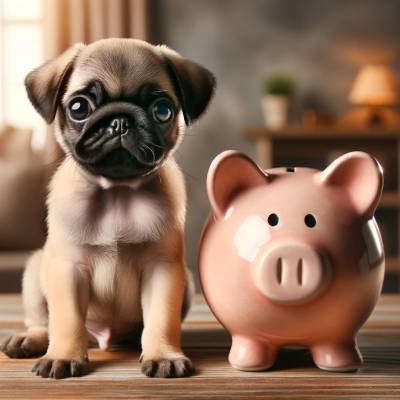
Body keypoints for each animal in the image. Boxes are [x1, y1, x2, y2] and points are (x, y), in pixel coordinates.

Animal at [0, 37, 216, 378]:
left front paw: (163, 355)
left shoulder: (162, 270)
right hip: (35, 271)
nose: (120, 121)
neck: (117, 193)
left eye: (162, 110)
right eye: (78, 108)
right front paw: (63, 356)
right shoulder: (68, 269)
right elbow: (66, 320)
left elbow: (161, 319)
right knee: (42, 322)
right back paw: (29, 340)